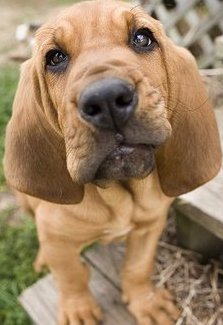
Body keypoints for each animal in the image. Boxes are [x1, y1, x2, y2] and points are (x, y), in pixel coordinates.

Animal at [3, 1, 221, 322]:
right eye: (55, 57)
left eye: (142, 38)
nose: (106, 99)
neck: (119, 194)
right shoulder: (56, 236)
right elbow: (70, 275)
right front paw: (78, 310)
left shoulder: (150, 226)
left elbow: (137, 267)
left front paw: (146, 302)